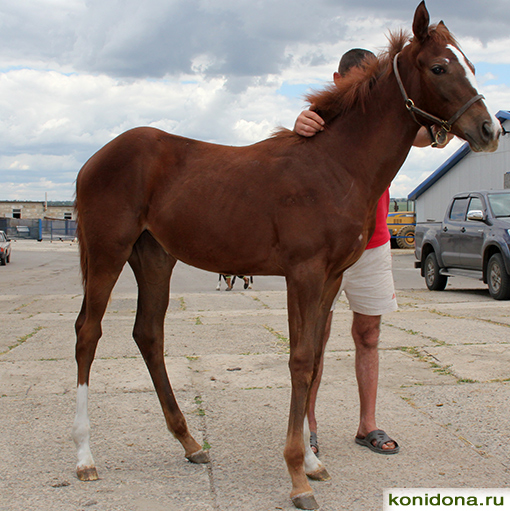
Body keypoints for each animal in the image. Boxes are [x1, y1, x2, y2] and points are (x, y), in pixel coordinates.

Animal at [73, 3, 500, 508]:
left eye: (471, 65)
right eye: (439, 67)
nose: (490, 130)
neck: (337, 165)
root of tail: (94, 158)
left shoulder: (332, 278)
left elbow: (314, 361)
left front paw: (312, 463)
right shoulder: (304, 273)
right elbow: (298, 361)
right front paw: (297, 475)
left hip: (156, 259)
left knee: (148, 335)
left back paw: (191, 443)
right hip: (107, 252)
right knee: (88, 334)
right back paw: (85, 457)